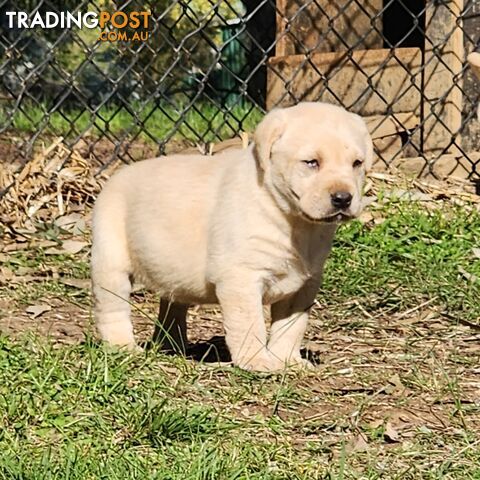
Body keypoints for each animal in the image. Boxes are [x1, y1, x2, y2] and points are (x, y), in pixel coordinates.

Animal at [92, 101, 374, 372]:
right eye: (312, 162)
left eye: (357, 164)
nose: (343, 198)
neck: (295, 222)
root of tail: (116, 175)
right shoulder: (241, 277)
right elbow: (250, 323)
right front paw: (257, 361)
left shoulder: (305, 284)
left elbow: (291, 327)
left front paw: (288, 360)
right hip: (110, 259)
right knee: (113, 307)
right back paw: (123, 346)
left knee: (173, 305)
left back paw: (172, 345)